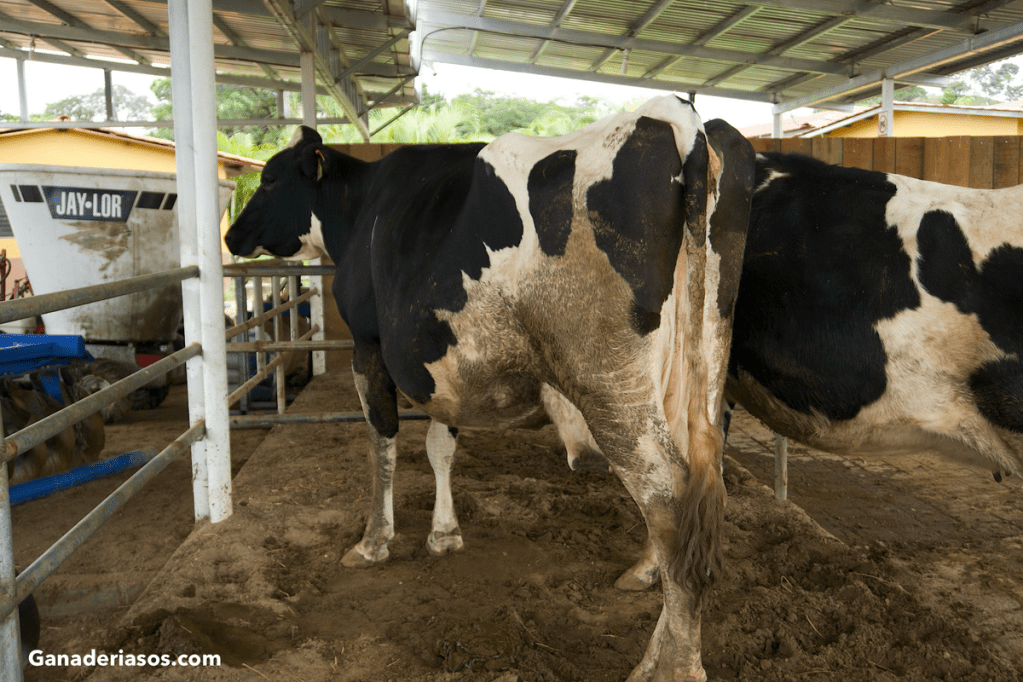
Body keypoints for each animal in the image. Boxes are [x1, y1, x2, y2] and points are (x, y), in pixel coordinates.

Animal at [224, 95, 756, 682]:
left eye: (270, 179)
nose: (230, 235)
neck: (360, 208)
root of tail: (675, 112)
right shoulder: (442, 361)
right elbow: (440, 443)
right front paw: (444, 533)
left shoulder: (368, 345)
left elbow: (382, 443)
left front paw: (373, 542)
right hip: (698, 368)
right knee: (698, 497)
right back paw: (650, 596)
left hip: (612, 386)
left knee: (669, 498)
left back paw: (672, 666)